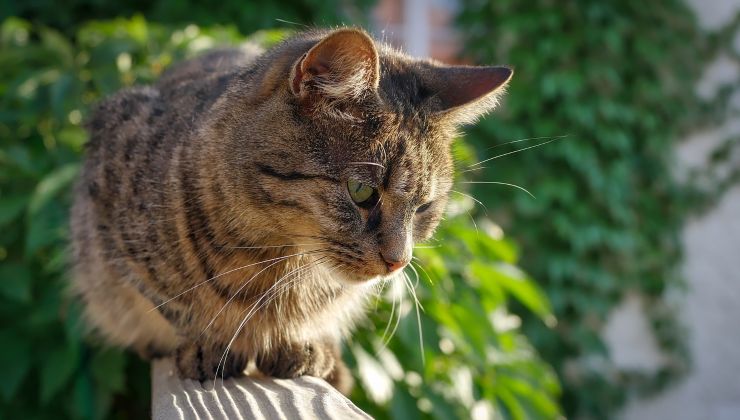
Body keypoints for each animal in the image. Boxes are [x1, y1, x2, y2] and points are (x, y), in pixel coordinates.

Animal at [71, 27, 508, 396]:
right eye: (361, 192)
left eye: (424, 207)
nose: (398, 262)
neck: (279, 260)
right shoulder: (112, 231)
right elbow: (174, 305)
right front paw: (210, 343)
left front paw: (299, 344)